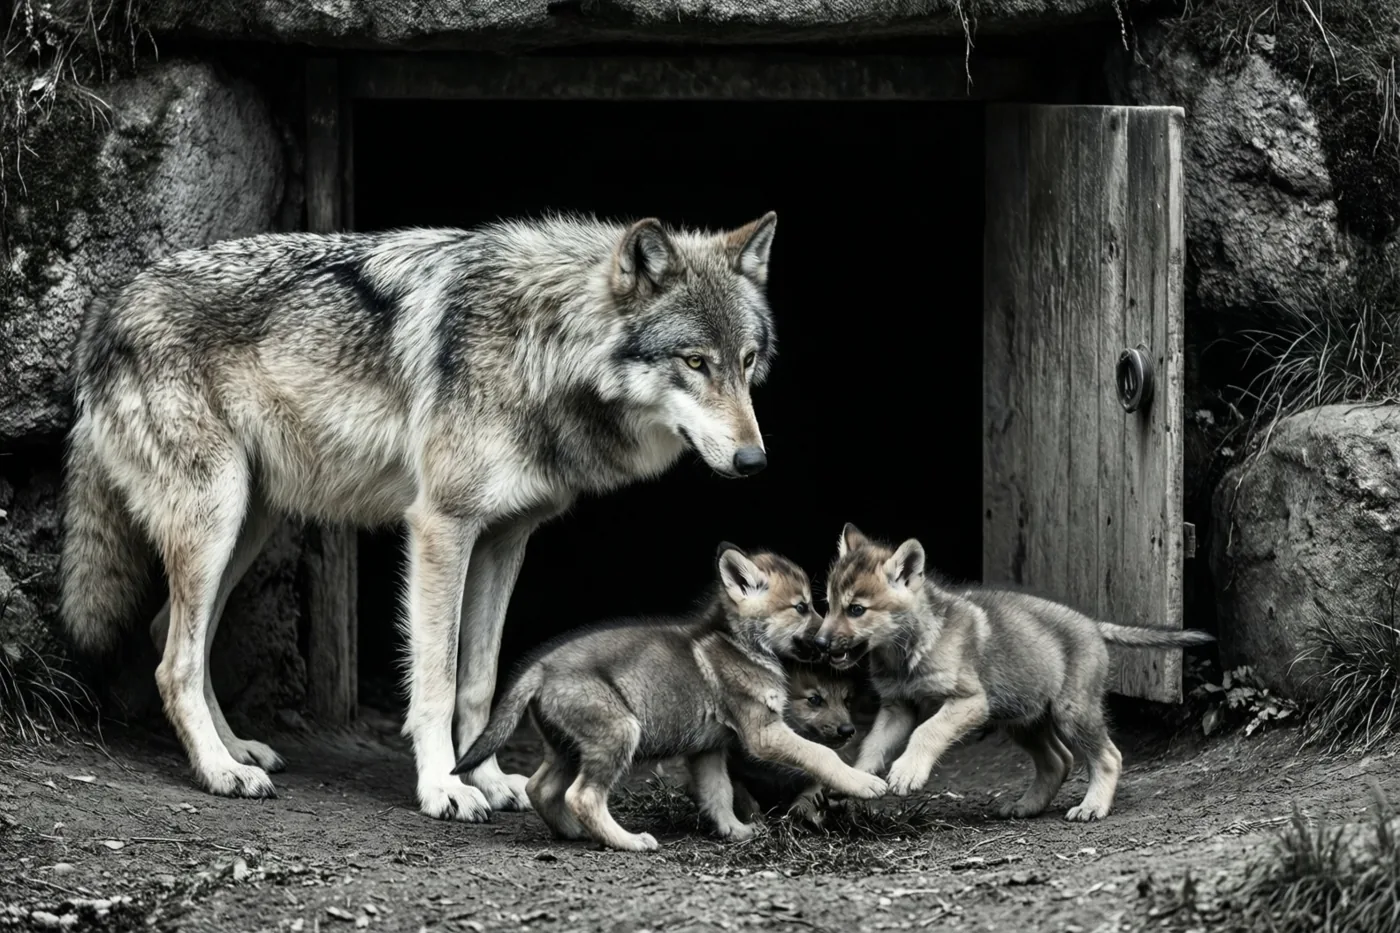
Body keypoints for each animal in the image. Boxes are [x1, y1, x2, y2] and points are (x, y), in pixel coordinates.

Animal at [59, 211, 781, 824]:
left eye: (747, 361)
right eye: (695, 362)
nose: (754, 460)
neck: (540, 346)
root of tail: (106, 308)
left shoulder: (505, 540)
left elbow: (480, 680)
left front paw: (486, 776)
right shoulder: (443, 525)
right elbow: (436, 679)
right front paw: (442, 786)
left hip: (246, 524)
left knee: (171, 634)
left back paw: (237, 748)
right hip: (218, 516)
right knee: (172, 663)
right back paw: (218, 770)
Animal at [450, 544, 888, 851]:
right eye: (801, 607)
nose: (829, 640)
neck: (740, 643)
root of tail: (540, 667)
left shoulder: (708, 750)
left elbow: (719, 794)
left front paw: (736, 831)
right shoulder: (763, 734)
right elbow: (821, 754)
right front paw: (863, 783)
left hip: (568, 745)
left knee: (540, 787)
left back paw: (577, 832)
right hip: (618, 730)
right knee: (583, 795)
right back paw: (626, 841)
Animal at [815, 524, 1214, 822]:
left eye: (856, 609)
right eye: (829, 605)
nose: (818, 643)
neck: (905, 651)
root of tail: (1093, 624)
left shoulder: (969, 701)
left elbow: (927, 732)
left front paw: (907, 772)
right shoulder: (898, 707)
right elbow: (872, 743)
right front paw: (857, 778)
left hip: (1070, 712)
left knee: (1109, 757)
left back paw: (1092, 807)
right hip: (1022, 718)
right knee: (1059, 761)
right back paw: (1027, 806)